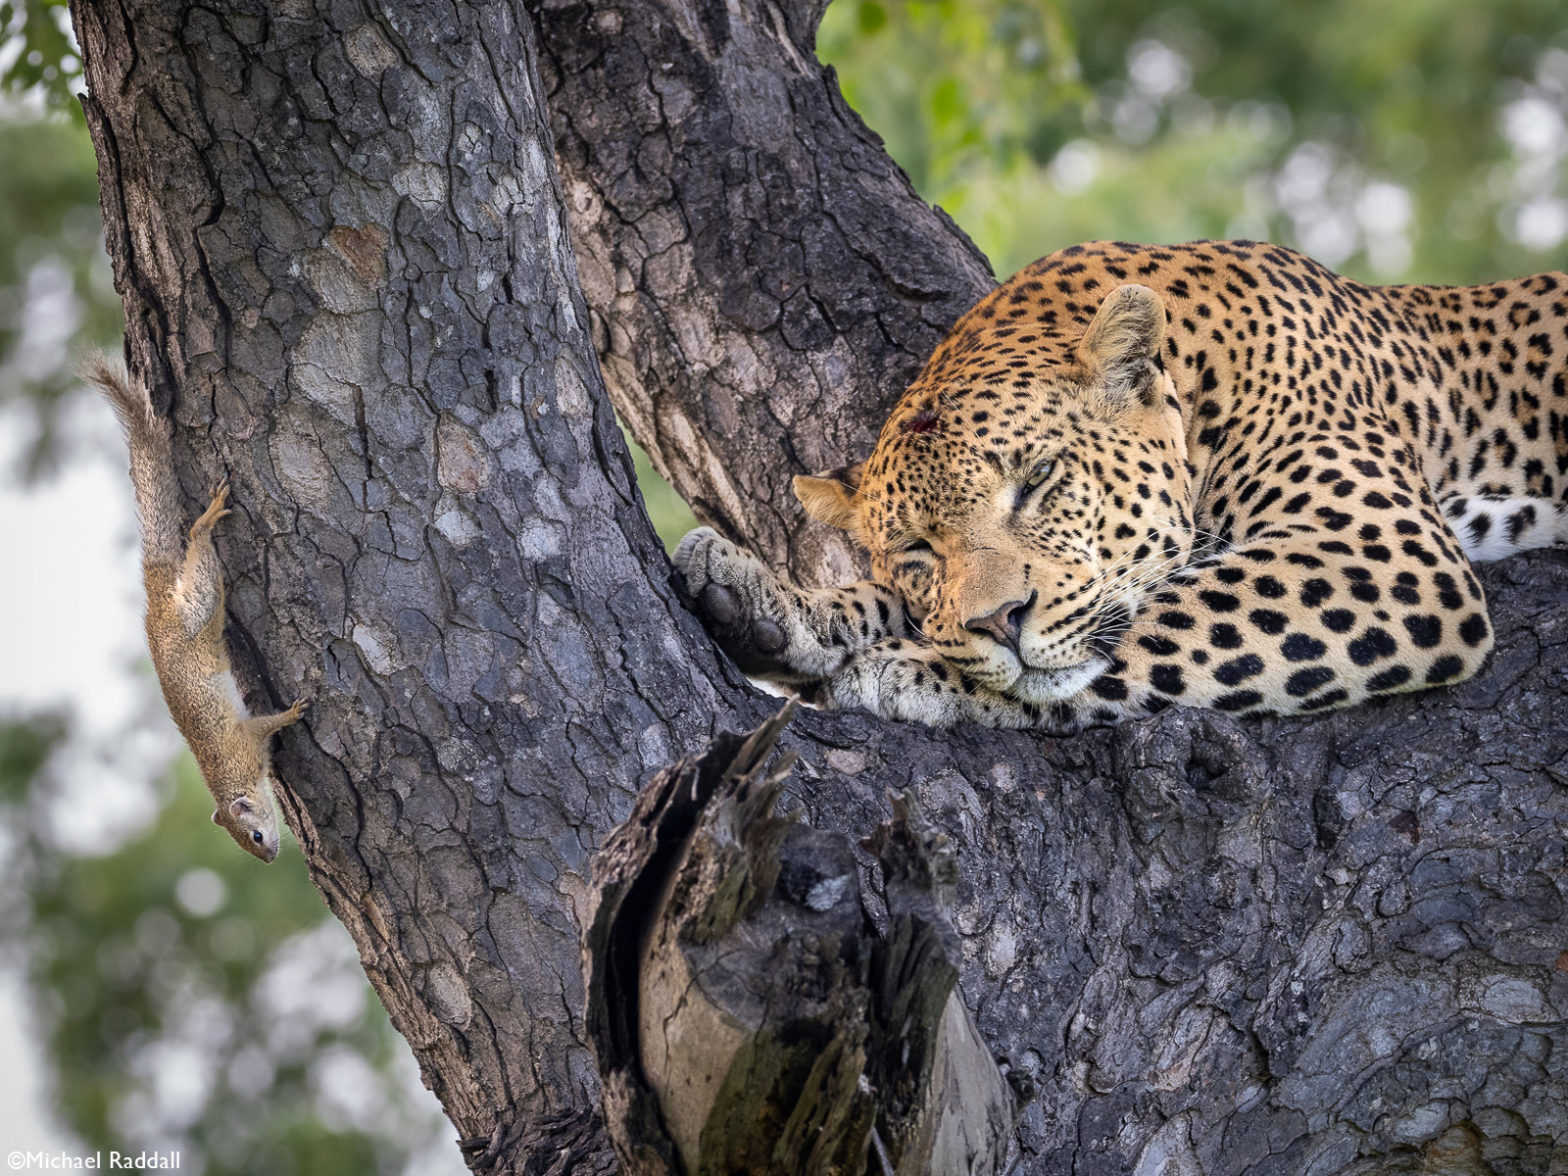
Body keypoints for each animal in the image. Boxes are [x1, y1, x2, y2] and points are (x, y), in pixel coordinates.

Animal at [82, 352, 305, 865]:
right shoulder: (245, 747)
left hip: (201, 604)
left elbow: (265, 724)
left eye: (255, 836)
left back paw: (205, 520)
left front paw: (291, 714)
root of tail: (156, 606)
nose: (270, 857)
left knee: (198, 548)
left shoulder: (244, 743)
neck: (232, 779)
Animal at [674, 239, 1568, 733]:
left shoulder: (1376, 550)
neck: (1202, 375)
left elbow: (1163, 624)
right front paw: (778, 606)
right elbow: (894, 603)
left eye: (1038, 478)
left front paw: (906, 671)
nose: (1000, 622)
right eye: (917, 547)